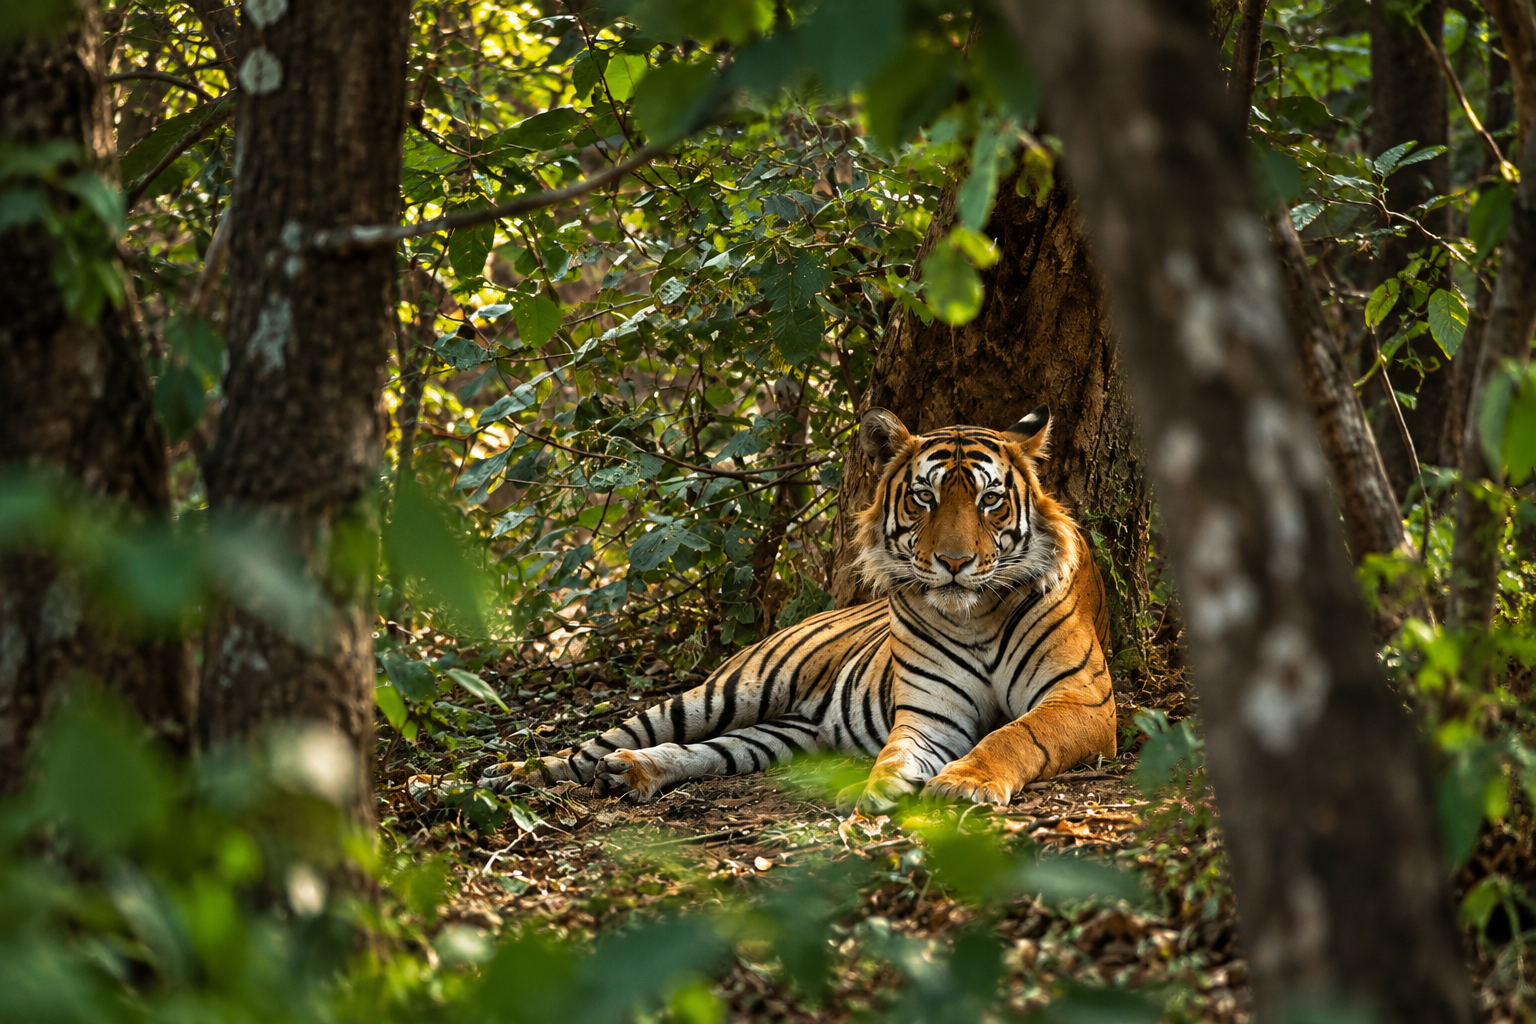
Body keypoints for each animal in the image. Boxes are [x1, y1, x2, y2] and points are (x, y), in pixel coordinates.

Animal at [419, 405, 1117, 810]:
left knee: (702, 752)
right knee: (586, 750)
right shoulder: (929, 714)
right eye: (924, 498)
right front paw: (881, 791)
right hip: (719, 694)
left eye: (989, 500)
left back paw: (632, 775)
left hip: (780, 732)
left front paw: (962, 782)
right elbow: (898, 751)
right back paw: (479, 781)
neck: (974, 615)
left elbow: (1016, 733)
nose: (953, 562)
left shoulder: (1083, 701)